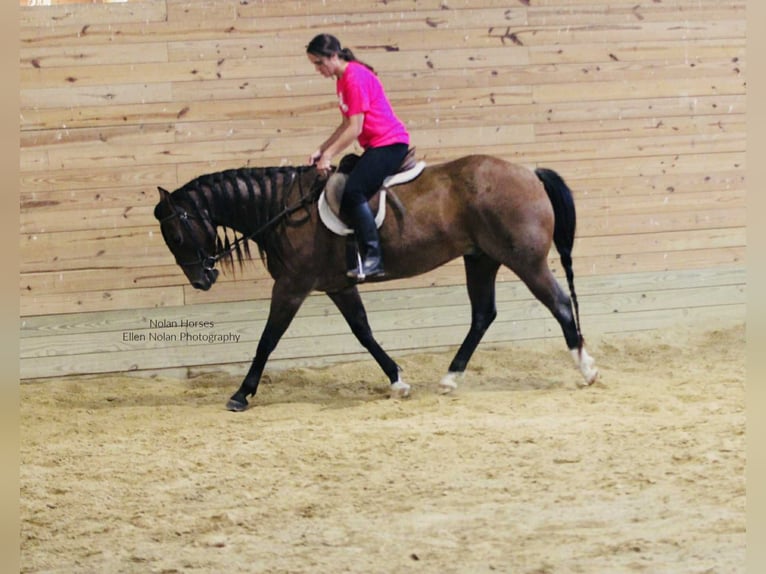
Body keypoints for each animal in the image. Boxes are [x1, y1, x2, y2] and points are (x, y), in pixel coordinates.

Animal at [153, 154, 599, 411]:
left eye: (175, 234)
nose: (201, 279)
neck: (284, 209)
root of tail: (530, 173)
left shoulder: (293, 286)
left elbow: (268, 339)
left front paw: (241, 394)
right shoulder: (338, 285)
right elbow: (363, 332)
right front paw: (398, 381)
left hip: (525, 260)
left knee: (559, 304)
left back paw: (587, 369)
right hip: (481, 258)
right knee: (482, 315)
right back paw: (449, 378)